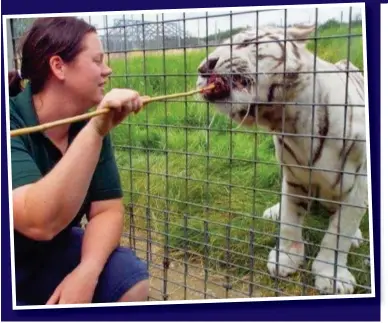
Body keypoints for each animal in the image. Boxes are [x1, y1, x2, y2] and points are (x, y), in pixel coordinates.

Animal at [196, 24, 368, 294]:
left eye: (245, 42)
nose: (204, 67)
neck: (289, 119)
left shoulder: (358, 182)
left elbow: (339, 232)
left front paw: (332, 277)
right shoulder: (294, 175)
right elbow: (289, 217)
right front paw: (286, 259)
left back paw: (356, 238)